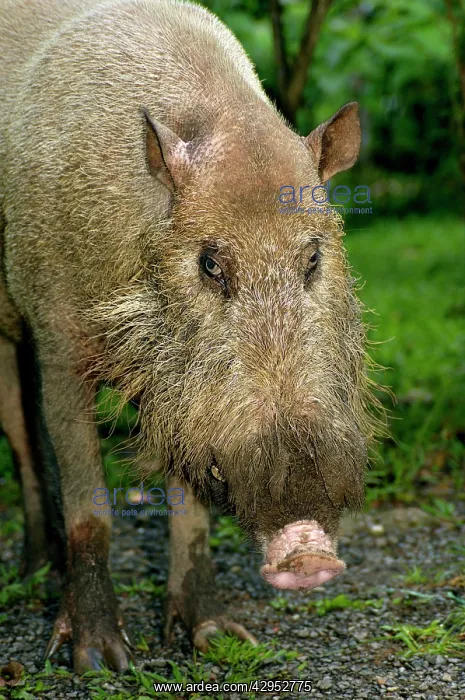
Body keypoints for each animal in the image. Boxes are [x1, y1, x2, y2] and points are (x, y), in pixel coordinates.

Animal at [0, 0, 381, 673]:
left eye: (313, 258)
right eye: (209, 264)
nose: (308, 555)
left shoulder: (181, 399)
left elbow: (193, 511)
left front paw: (219, 640)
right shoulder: (58, 337)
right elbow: (89, 506)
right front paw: (101, 662)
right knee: (22, 440)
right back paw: (32, 573)